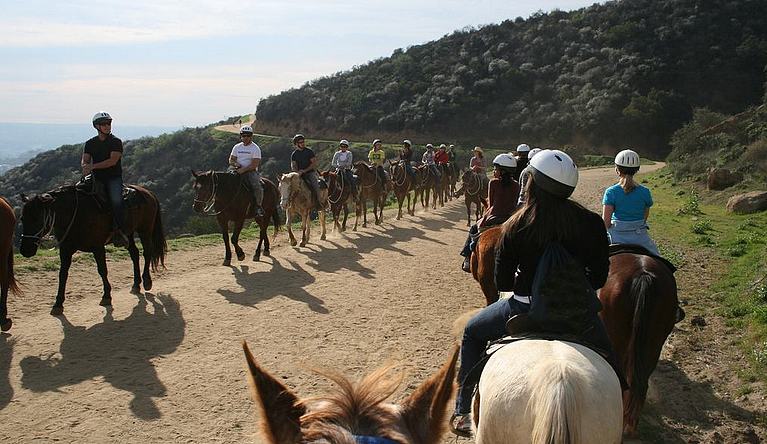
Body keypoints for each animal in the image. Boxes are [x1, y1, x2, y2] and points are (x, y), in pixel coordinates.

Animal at [19, 184, 166, 316]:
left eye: (37, 218)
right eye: (22, 218)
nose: (25, 250)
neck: (77, 214)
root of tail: (147, 192)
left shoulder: (98, 247)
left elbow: (102, 270)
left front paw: (106, 296)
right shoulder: (65, 250)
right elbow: (63, 274)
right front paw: (58, 304)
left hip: (145, 230)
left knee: (147, 253)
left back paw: (147, 281)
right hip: (128, 234)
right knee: (134, 254)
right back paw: (136, 284)